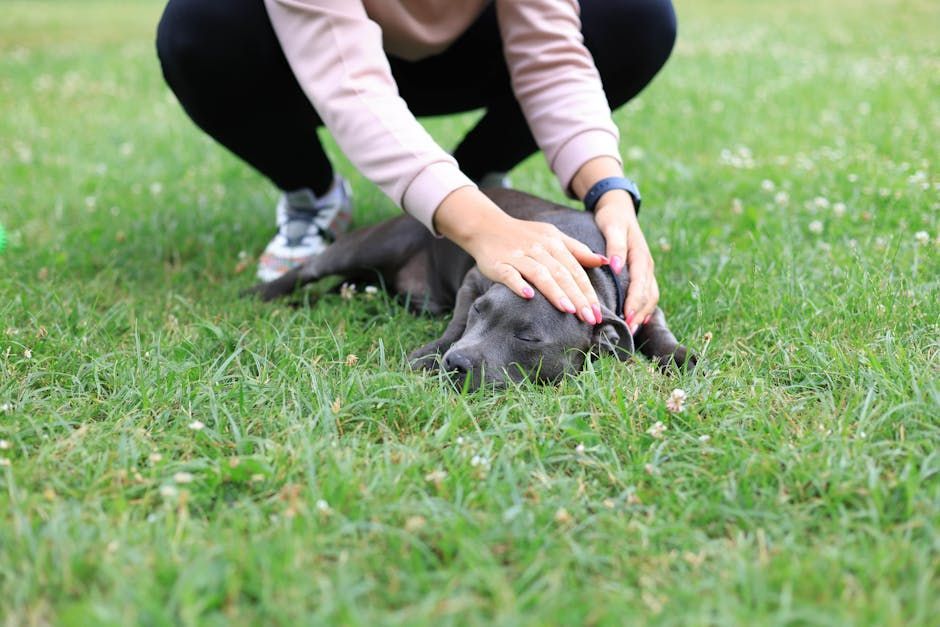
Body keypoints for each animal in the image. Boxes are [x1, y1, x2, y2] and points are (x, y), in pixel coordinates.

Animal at [246, 189, 692, 390]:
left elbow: (657, 330)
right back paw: (257, 295)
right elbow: (455, 324)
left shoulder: (641, 299)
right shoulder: (477, 278)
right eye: (482, 310)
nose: (457, 363)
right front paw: (430, 354)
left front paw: (682, 358)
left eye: (528, 337)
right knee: (310, 269)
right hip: (372, 244)